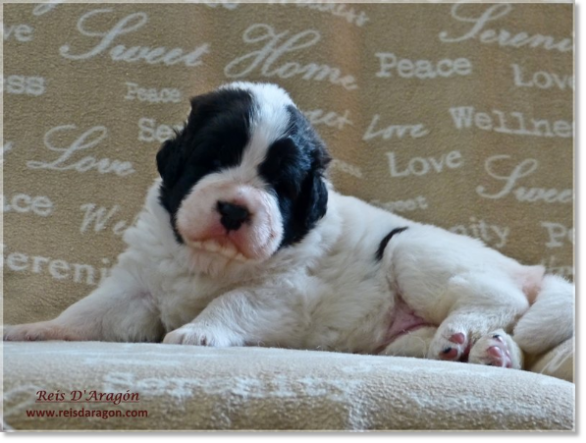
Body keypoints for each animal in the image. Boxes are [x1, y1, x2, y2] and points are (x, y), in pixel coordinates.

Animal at [3, 83, 572, 372]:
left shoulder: (284, 290)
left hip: (413, 250)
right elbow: (89, 312)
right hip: (397, 339)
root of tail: (527, 268)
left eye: (279, 183)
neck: (215, 260)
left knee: (504, 298)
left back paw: (465, 334)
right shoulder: (139, 283)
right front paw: (33, 330)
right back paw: (490, 352)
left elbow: (232, 302)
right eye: (213, 158)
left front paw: (199, 331)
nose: (234, 210)